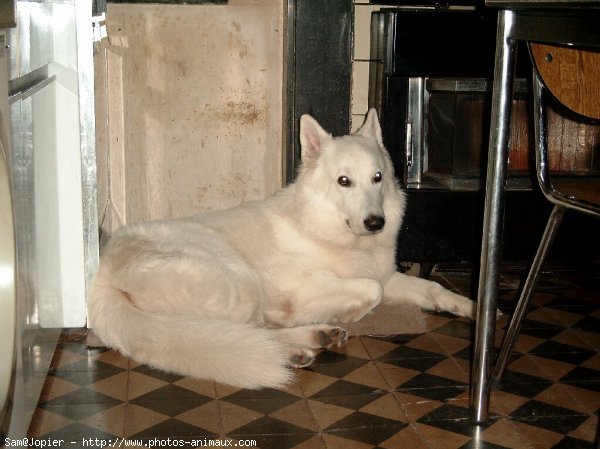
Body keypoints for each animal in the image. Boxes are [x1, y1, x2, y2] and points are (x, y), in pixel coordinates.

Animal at [86, 108, 476, 388]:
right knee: (238, 332)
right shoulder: (305, 288)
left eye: (377, 178)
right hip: (241, 283)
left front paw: (473, 308)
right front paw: (349, 313)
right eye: (344, 181)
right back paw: (300, 343)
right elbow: (371, 290)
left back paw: (312, 339)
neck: (324, 226)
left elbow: (431, 287)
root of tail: (103, 275)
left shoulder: (387, 274)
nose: (375, 223)